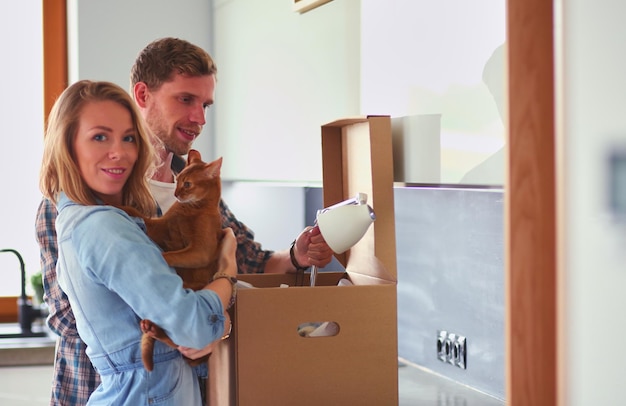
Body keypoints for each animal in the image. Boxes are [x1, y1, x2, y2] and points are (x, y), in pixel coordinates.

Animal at [118, 150, 223, 372]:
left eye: (188, 184)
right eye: (178, 179)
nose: (176, 194)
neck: (191, 209)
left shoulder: (201, 250)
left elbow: (170, 255)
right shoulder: (160, 227)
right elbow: (140, 215)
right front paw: (116, 205)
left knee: (181, 341)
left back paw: (153, 329)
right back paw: (151, 328)